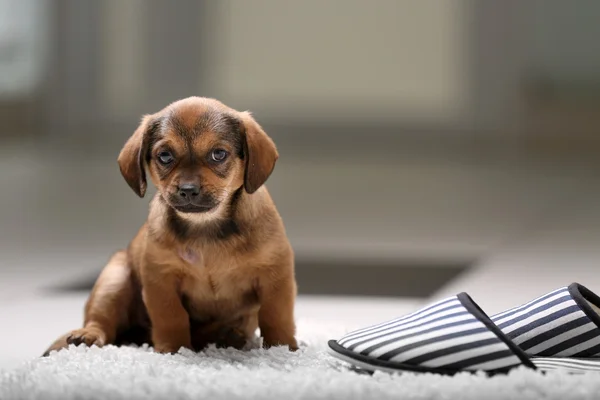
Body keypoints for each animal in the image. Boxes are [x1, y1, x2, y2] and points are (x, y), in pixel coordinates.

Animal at [44, 97, 298, 356]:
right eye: (165, 156)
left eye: (218, 154)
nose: (188, 189)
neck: (204, 226)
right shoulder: (161, 281)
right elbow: (172, 317)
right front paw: (174, 350)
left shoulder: (275, 277)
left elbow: (275, 316)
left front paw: (282, 348)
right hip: (114, 279)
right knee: (101, 321)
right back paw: (88, 335)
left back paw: (229, 337)